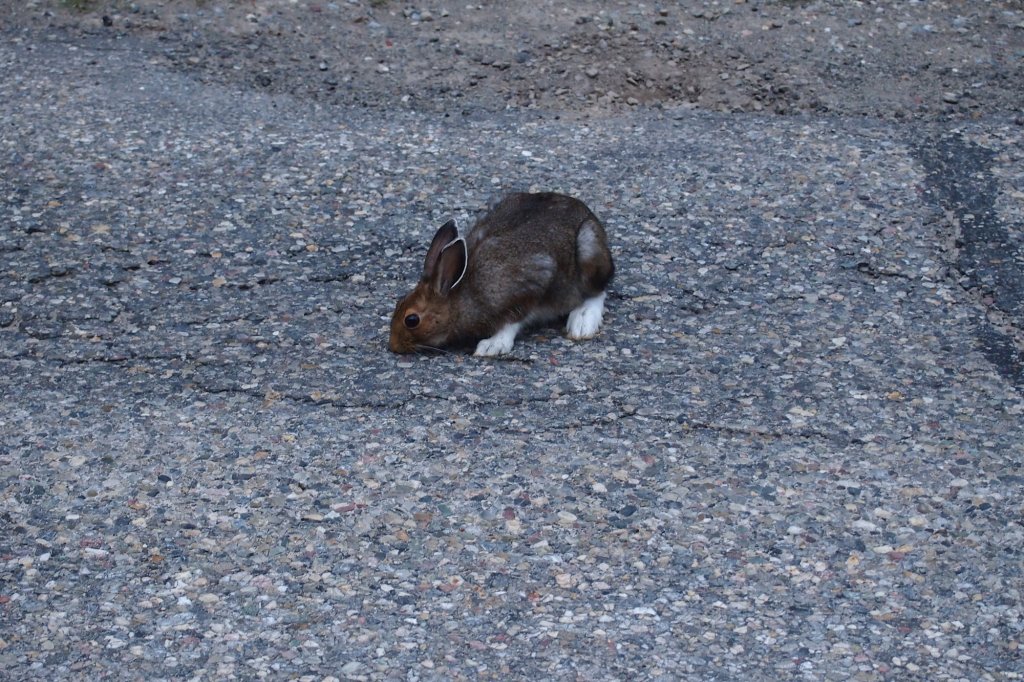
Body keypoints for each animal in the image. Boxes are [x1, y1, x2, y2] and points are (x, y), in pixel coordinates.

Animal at [389, 192, 615, 356]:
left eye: (412, 320)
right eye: (398, 302)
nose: (393, 345)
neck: (460, 294)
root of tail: (587, 212)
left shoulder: (530, 284)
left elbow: (512, 321)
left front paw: (492, 346)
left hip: (588, 250)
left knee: (597, 291)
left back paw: (582, 322)